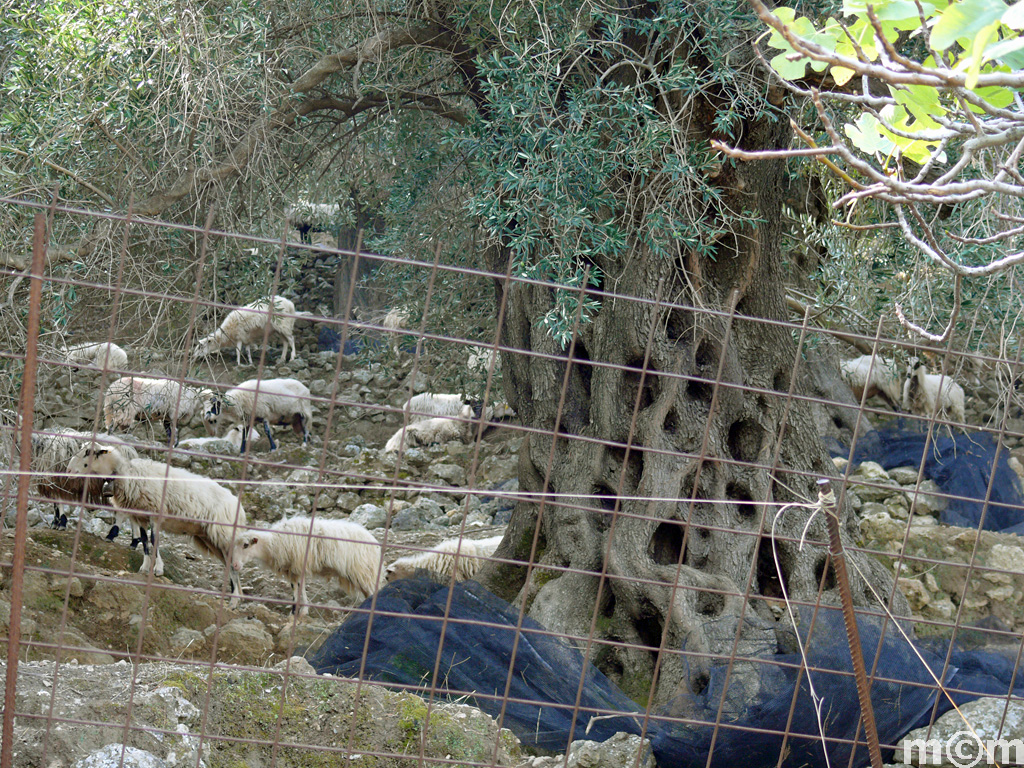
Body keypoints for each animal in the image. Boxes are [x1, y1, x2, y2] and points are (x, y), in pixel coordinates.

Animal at [68, 444, 247, 606]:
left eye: (88, 452)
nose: (69, 471)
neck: (126, 473)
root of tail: (239, 506)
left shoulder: (155, 513)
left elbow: (154, 541)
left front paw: (158, 569)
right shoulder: (140, 516)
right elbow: (145, 541)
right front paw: (145, 567)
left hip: (223, 534)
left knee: (233, 565)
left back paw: (234, 600)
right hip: (210, 538)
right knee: (230, 564)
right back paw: (236, 599)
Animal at [230, 518, 382, 618]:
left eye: (245, 545)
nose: (234, 565)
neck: (273, 543)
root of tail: (375, 543)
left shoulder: (296, 566)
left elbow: (296, 590)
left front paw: (294, 613)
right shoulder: (294, 569)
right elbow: (300, 588)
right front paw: (302, 611)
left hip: (363, 571)